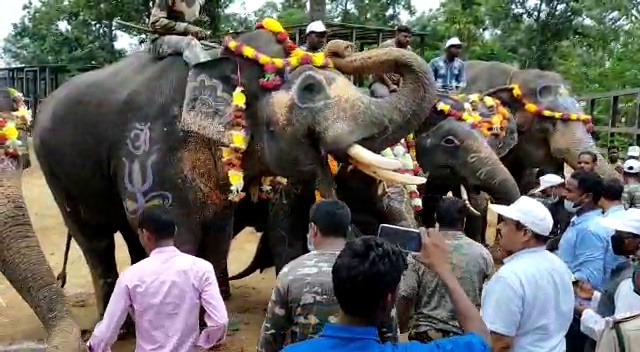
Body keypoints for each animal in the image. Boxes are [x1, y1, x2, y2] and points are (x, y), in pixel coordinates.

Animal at [32, 22, 438, 328]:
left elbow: (217, 234)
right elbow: (177, 232)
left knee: (131, 236)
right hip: (54, 167)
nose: (341, 47)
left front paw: (212, 324)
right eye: (309, 89)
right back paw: (119, 327)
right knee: (95, 239)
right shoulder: (148, 148)